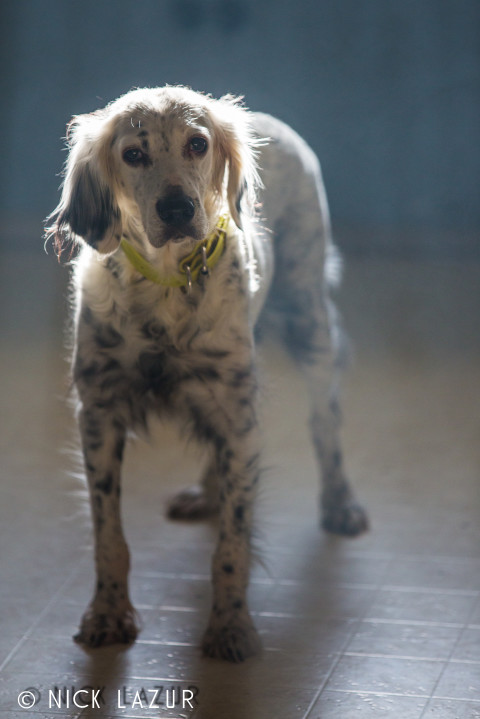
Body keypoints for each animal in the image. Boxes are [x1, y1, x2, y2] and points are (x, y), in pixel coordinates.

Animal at [45, 86, 368, 664]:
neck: (166, 284)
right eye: (133, 154)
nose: (177, 209)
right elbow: (109, 536)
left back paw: (340, 504)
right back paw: (207, 492)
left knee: (324, 421)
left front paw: (231, 628)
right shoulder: (99, 414)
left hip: (308, 318)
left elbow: (233, 545)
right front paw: (107, 615)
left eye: (197, 144)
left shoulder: (238, 416)